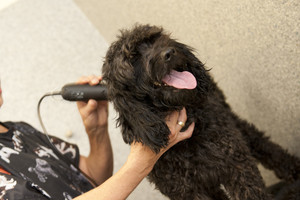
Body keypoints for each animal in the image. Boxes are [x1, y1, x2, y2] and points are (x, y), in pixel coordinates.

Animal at [101, 25, 300, 200]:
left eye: (156, 37)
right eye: (133, 58)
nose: (169, 52)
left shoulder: (236, 164)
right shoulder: (187, 191)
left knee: (264, 145)